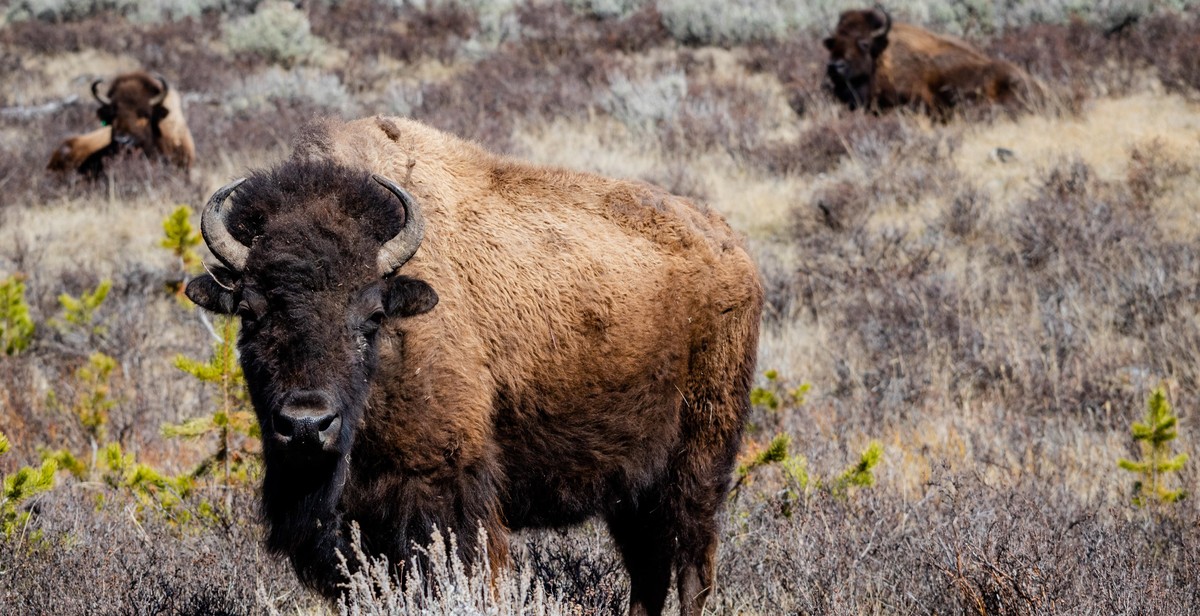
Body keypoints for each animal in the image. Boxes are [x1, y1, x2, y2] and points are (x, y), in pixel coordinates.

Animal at [184, 116, 768, 614]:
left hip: (699, 458)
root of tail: (732, 247)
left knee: (691, 565)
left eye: (372, 315)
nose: (306, 425)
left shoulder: (445, 492)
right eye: (250, 312)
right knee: (648, 570)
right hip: (631, 484)